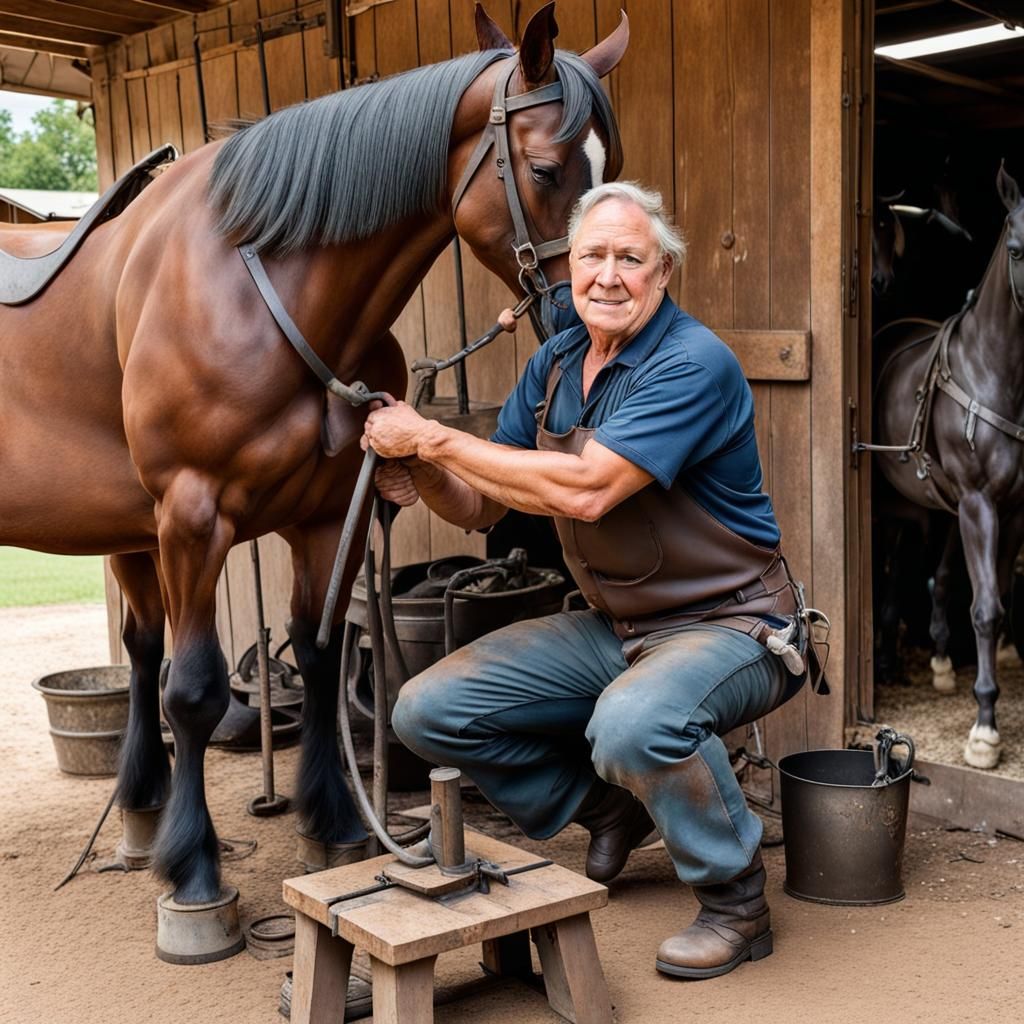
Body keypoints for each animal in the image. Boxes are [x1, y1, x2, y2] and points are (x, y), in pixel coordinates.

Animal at [0, 2, 628, 906]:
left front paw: (332, 826)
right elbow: (194, 690)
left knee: (142, 645)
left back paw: (141, 806)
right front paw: (196, 871)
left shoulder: (330, 514)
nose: (587, 313)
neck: (261, 291)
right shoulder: (192, 516)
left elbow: (323, 655)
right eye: (545, 170)